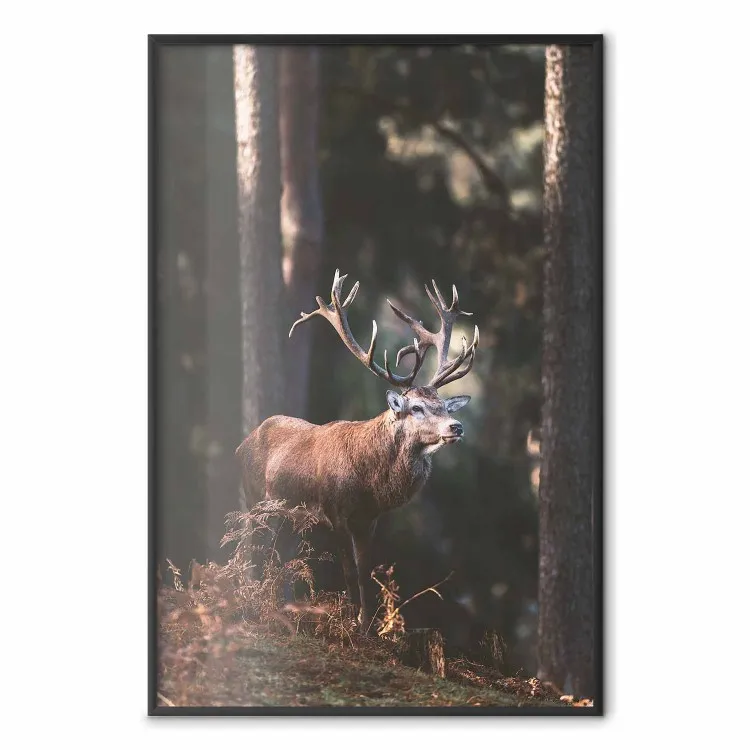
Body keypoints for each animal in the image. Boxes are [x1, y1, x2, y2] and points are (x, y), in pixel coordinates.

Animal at [235, 269, 479, 632]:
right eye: (417, 407)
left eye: (444, 406)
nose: (456, 427)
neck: (369, 481)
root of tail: (241, 444)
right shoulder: (334, 510)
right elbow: (349, 572)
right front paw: (350, 625)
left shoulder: (369, 519)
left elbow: (365, 572)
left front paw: (368, 627)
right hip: (254, 499)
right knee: (252, 547)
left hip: (288, 515)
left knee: (282, 554)